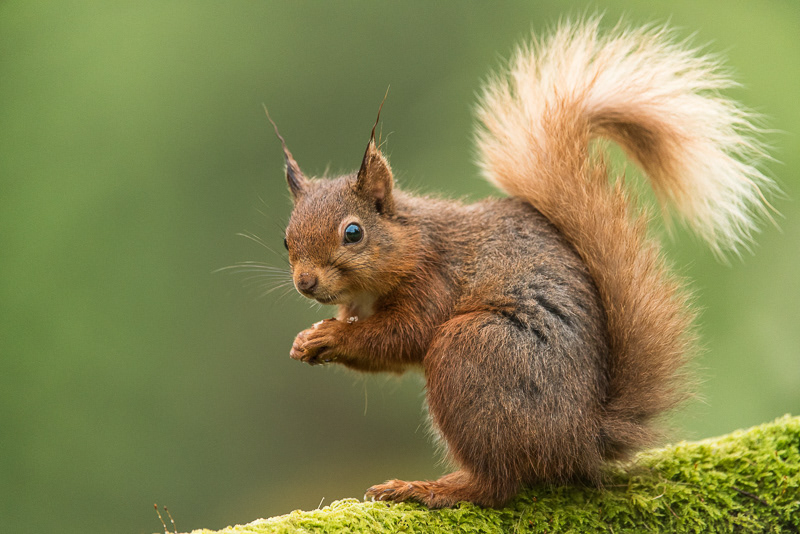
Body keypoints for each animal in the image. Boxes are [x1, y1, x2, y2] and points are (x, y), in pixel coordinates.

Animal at [268, 19, 774, 508]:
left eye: (353, 233)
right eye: (286, 239)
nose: (306, 282)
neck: (408, 245)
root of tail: (582, 440)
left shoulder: (436, 279)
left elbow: (403, 336)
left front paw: (332, 336)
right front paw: (306, 340)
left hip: (472, 351)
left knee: (499, 485)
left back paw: (433, 489)